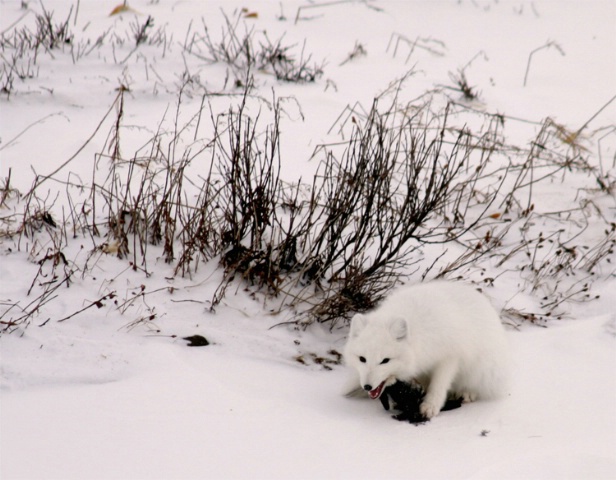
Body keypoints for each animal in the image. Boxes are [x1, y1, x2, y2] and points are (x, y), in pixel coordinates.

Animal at [342, 280, 510, 418]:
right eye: (362, 359)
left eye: (385, 360)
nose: (367, 386)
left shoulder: (450, 357)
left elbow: (439, 384)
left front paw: (430, 406)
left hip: (483, 369)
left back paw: (467, 393)